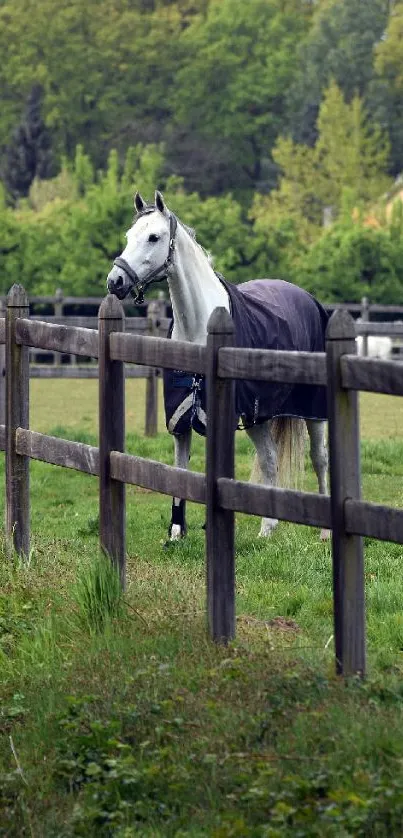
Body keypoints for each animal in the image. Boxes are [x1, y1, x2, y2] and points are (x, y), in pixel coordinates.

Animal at [107, 194, 332, 540]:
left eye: (154, 237)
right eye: (129, 236)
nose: (115, 282)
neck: (199, 327)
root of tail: (307, 298)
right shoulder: (180, 418)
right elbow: (179, 471)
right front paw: (176, 532)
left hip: (313, 409)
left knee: (319, 459)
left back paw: (324, 533)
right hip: (257, 416)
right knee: (270, 459)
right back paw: (267, 530)